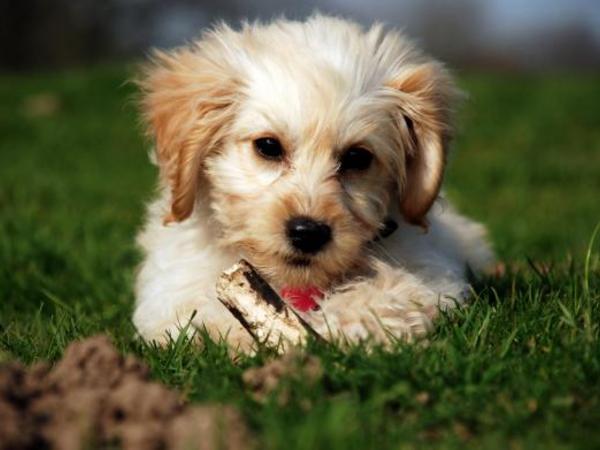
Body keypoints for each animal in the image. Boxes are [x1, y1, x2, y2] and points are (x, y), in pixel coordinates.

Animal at [133, 15, 494, 351]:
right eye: (268, 146)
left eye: (357, 157)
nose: (308, 233)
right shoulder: (169, 290)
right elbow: (198, 313)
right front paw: (243, 334)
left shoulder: (431, 274)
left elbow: (391, 296)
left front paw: (336, 326)